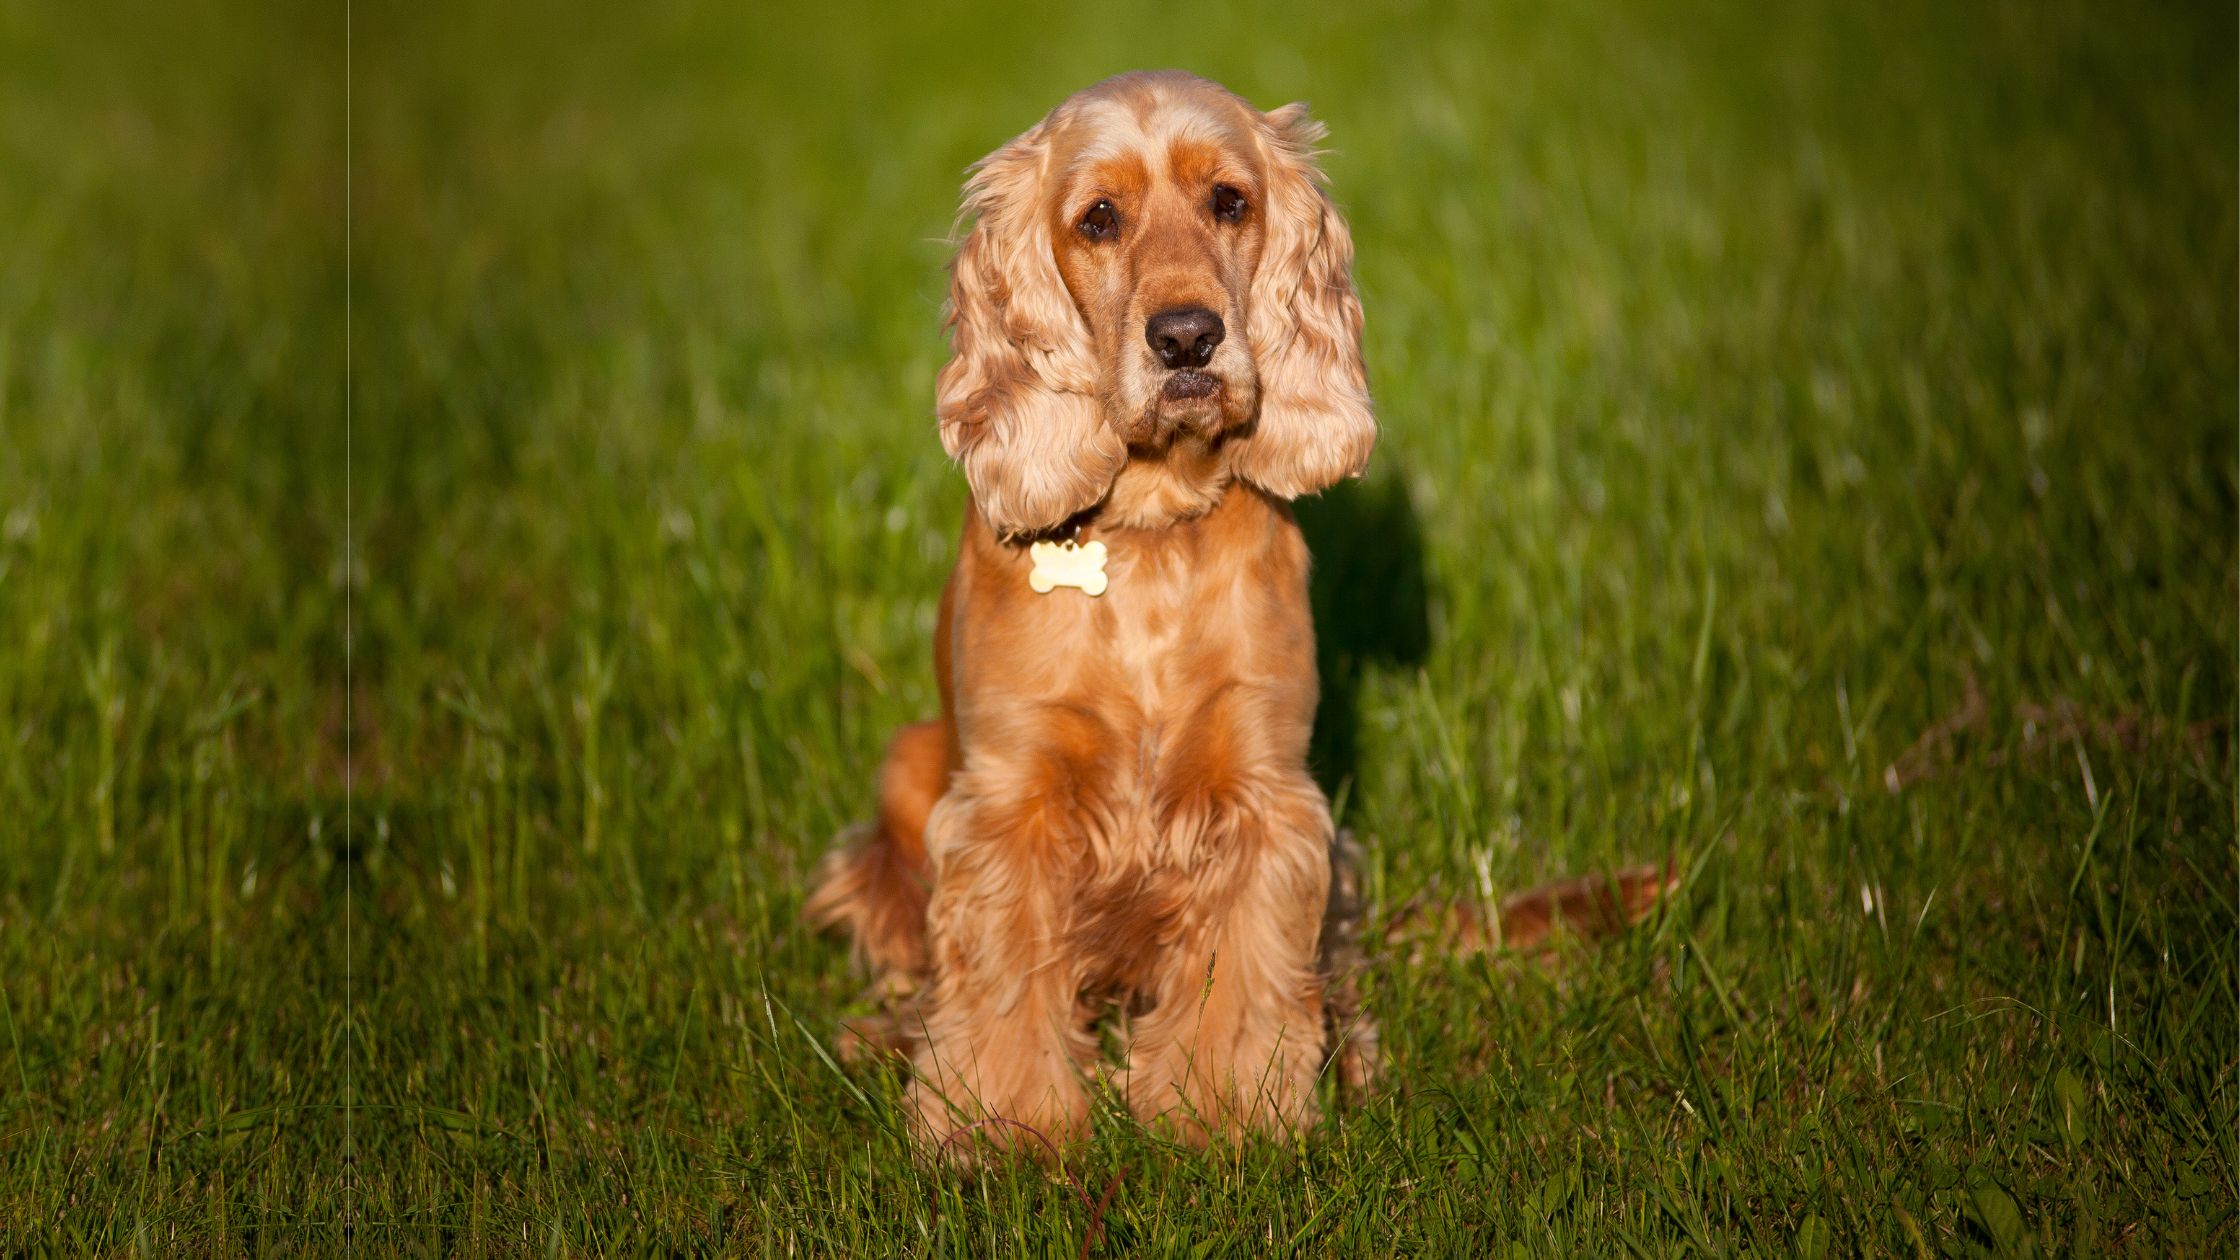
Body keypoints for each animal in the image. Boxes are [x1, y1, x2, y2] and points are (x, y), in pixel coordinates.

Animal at [797, 66, 1370, 1147]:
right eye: (1098, 218)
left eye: (1229, 201)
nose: (1186, 336)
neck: (1148, 534)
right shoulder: (1007, 795)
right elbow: (997, 975)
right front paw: (1001, 1125)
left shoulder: (1264, 789)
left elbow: (1243, 968)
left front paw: (1224, 1111)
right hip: (907, 768)